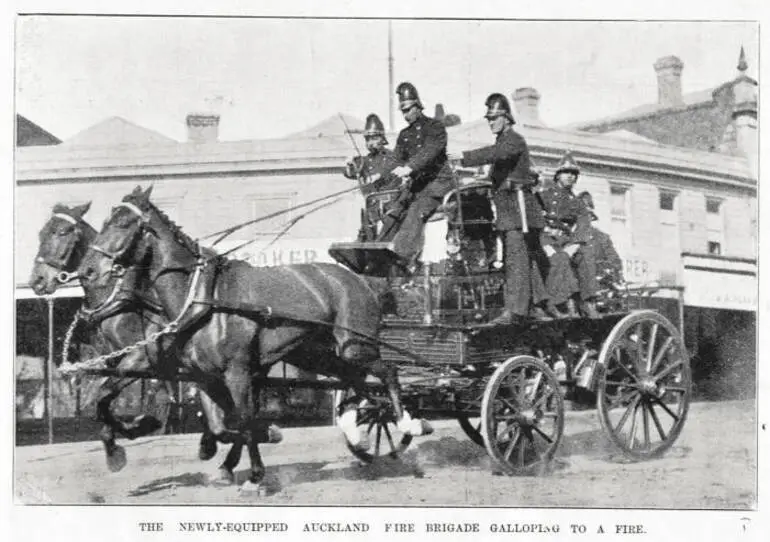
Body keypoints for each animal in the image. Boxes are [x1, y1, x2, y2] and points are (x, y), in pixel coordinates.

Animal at [29, 202, 225, 474]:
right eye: (41, 233)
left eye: (63, 231)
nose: (37, 280)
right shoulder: (114, 362)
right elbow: (103, 402)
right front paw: (119, 441)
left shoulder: (141, 359)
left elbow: (109, 396)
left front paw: (138, 428)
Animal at [79, 188, 432, 498]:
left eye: (123, 223)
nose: (88, 271)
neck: (202, 297)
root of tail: (362, 280)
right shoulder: (202, 375)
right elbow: (222, 423)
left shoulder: (237, 372)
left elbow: (244, 420)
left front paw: (256, 475)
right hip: (316, 354)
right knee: (355, 382)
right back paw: (357, 433)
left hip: (355, 346)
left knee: (386, 372)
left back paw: (406, 422)